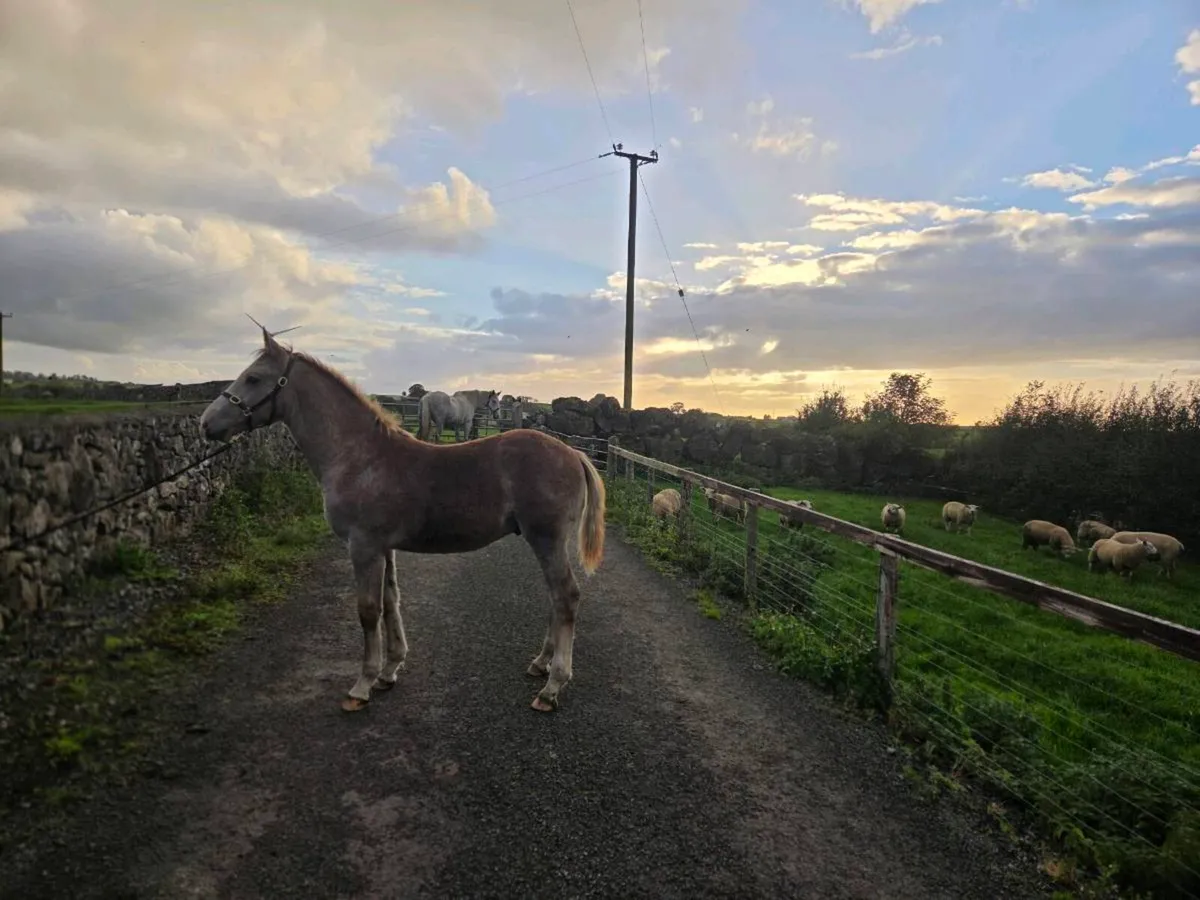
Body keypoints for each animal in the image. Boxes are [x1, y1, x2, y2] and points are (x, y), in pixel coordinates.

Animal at [198, 327, 606, 714]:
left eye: (253, 378)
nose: (206, 424)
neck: (360, 457)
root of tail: (573, 454)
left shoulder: (363, 547)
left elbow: (368, 611)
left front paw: (361, 686)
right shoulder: (383, 548)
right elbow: (391, 602)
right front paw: (389, 671)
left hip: (547, 539)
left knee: (566, 596)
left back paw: (552, 688)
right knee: (555, 598)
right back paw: (540, 663)